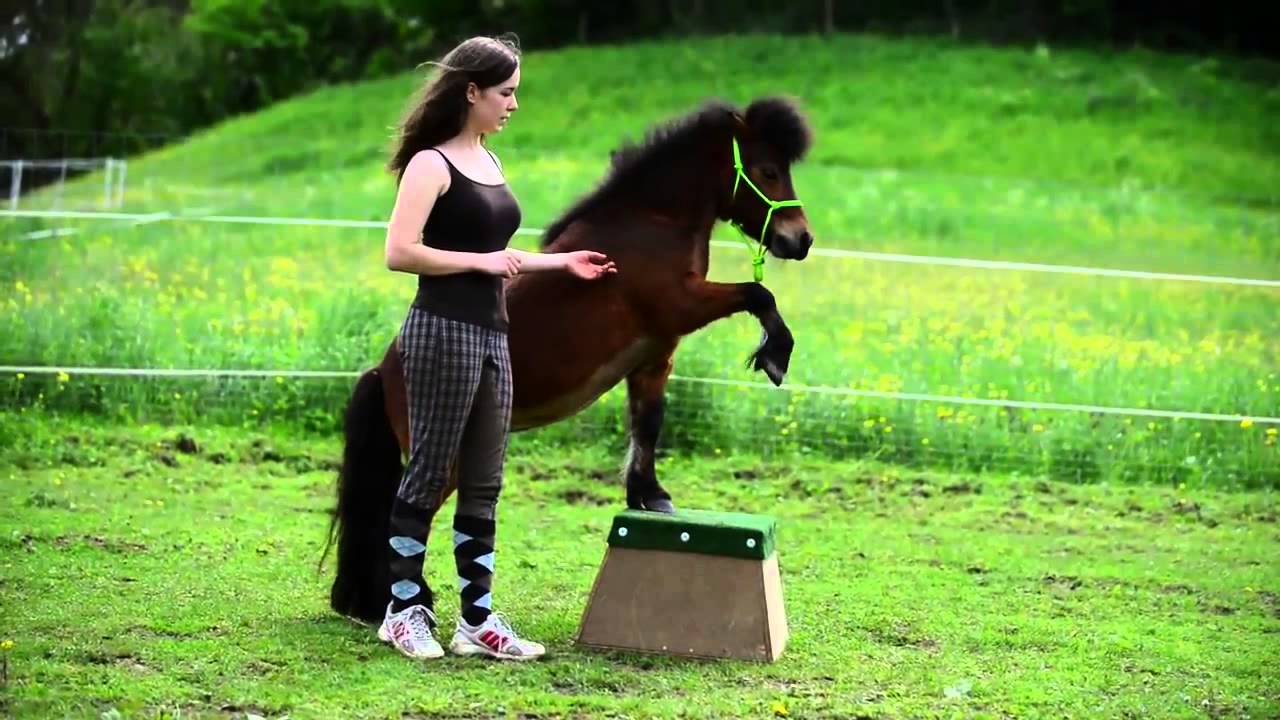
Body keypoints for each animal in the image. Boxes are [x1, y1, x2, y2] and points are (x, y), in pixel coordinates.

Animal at [325, 96, 815, 623]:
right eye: (768, 170)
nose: (801, 239)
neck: (650, 223)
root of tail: (384, 371)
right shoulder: (684, 304)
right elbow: (758, 294)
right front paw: (775, 355)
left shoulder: (654, 358)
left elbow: (648, 425)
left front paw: (649, 496)